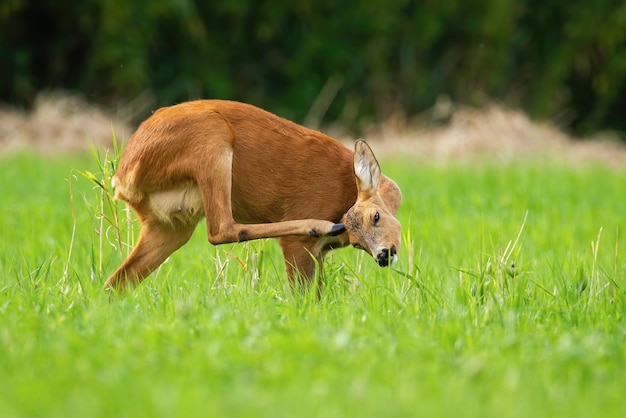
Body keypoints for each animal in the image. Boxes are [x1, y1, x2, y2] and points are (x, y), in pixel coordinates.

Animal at [103, 99, 400, 292]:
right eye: (375, 215)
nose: (384, 256)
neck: (345, 190)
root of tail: (122, 175)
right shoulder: (300, 241)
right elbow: (303, 294)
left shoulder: (322, 253)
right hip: (211, 139)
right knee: (221, 228)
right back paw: (319, 226)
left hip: (169, 224)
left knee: (116, 282)